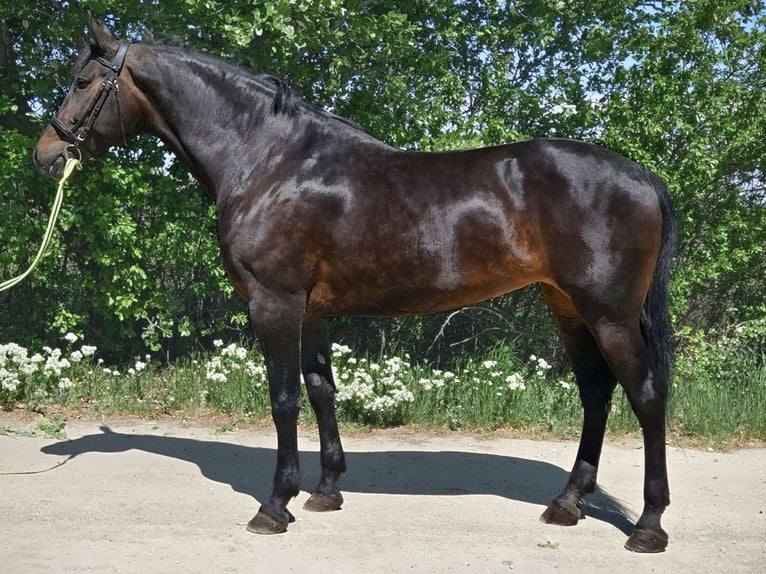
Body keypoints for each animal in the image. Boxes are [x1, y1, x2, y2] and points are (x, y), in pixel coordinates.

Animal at [33, 18, 676, 553]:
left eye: (84, 80)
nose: (46, 155)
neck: (270, 161)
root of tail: (643, 176)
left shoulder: (275, 303)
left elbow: (284, 399)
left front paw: (275, 506)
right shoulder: (312, 310)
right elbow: (322, 390)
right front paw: (326, 490)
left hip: (610, 315)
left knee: (645, 397)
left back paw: (647, 526)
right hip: (569, 308)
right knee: (596, 394)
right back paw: (566, 504)